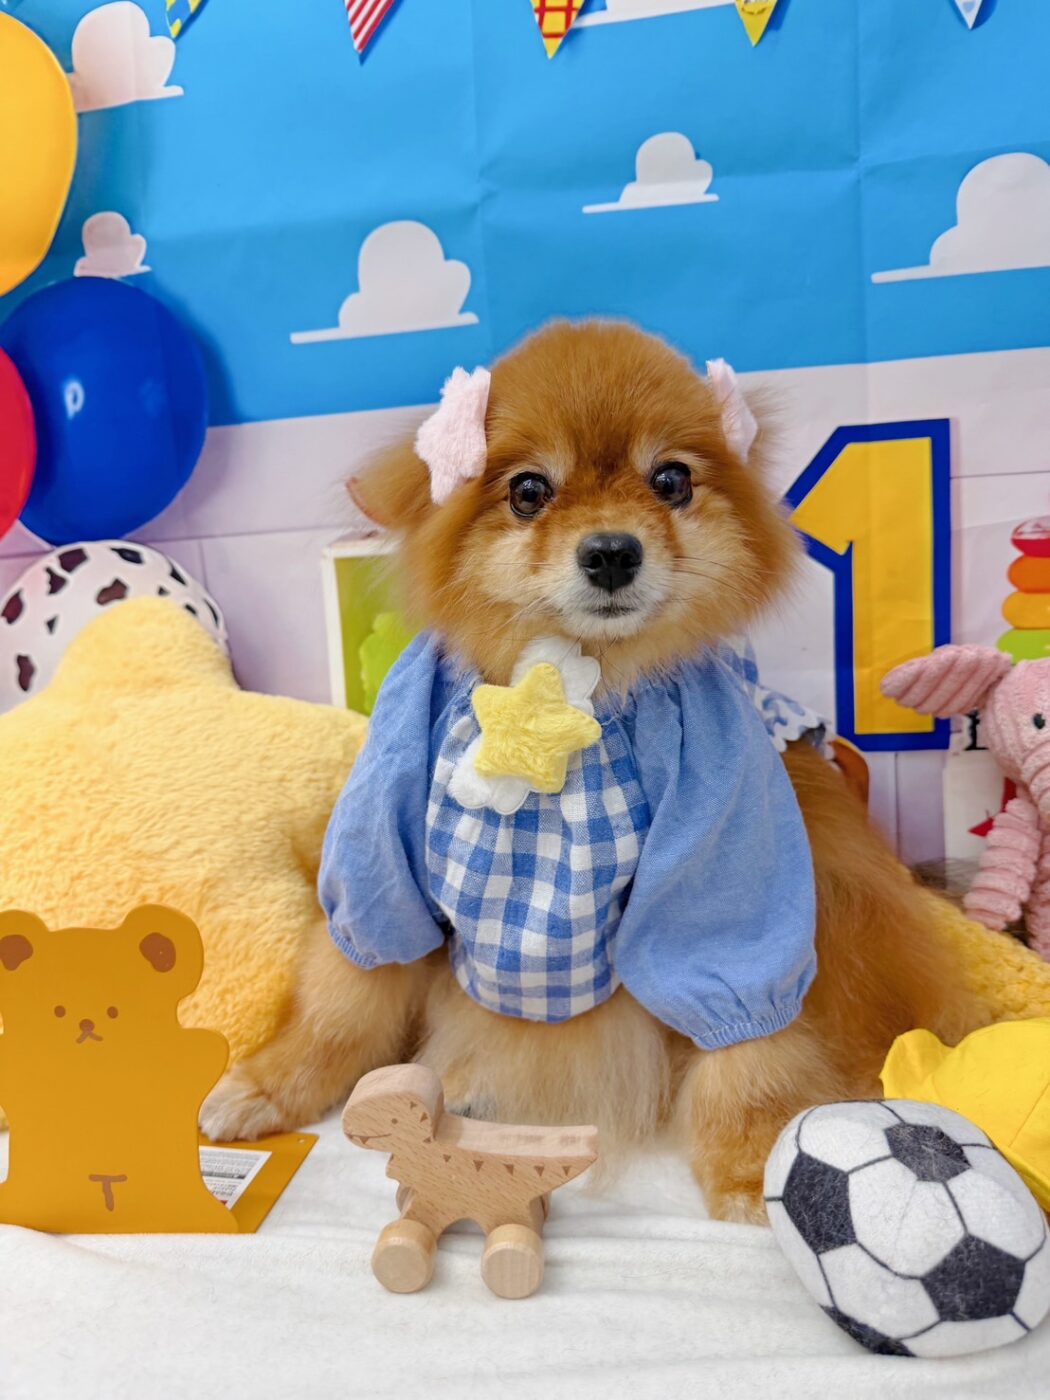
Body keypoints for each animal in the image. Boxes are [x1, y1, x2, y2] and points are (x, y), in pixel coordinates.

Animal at [201, 320, 981, 1221]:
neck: (573, 686)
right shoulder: (383, 862)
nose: (612, 552)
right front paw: (273, 1086)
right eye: (529, 491)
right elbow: (345, 995)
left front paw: (753, 1163)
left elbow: (749, 1034)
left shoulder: (727, 870)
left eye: (671, 480)